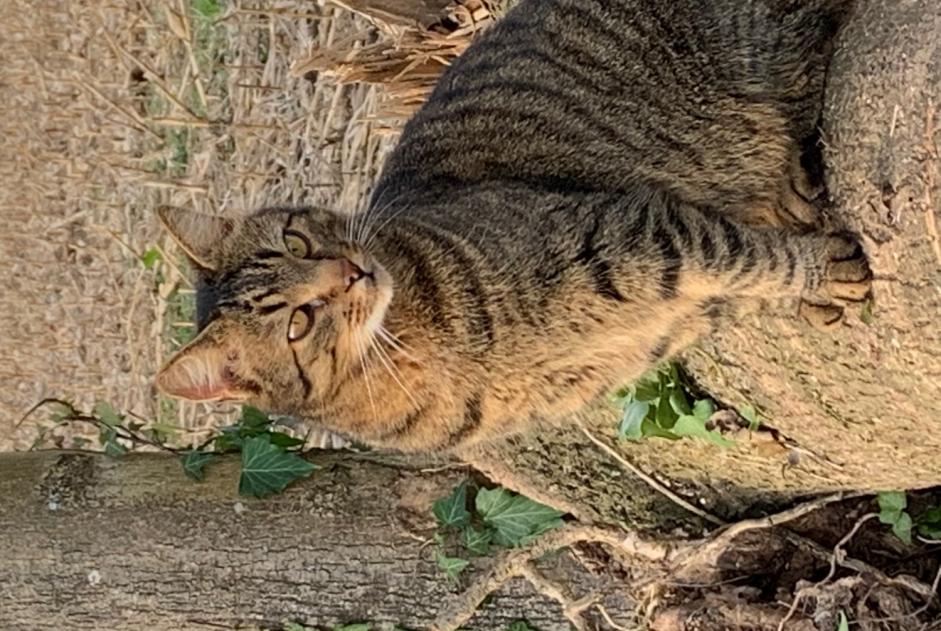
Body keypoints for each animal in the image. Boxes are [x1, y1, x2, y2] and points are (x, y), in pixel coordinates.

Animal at [152, 0, 868, 452]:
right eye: (299, 323)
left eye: (298, 239)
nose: (350, 270)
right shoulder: (658, 270)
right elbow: (738, 275)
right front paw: (803, 285)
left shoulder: (628, 233)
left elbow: (744, 255)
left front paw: (815, 272)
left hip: (758, 49)